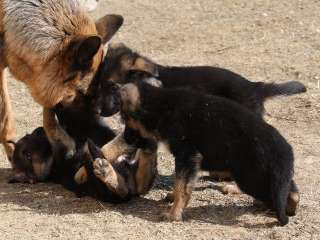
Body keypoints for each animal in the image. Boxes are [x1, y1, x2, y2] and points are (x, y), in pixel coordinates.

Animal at [120, 81, 298, 226]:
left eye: (126, 120)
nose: (126, 139)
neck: (162, 106)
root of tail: (284, 149)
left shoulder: (187, 156)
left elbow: (182, 186)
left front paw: (174, 214)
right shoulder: (187, 161)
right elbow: (180, 183)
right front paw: (173, 198)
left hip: (250, 178)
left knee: (279, 195)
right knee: (291, 190)